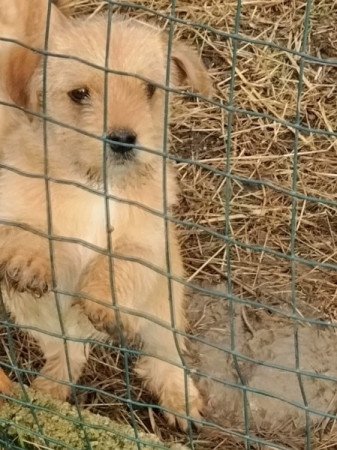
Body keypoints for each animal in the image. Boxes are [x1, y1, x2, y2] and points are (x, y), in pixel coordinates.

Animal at [0, 0, 210, 428]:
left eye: (150, 89)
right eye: (79, 94)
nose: (123, 140)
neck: (97, 184)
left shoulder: (150, 239)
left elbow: (122, 260)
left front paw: (103, 299)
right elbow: (30, 230)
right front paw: (30, 256)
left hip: (165, 302)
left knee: (165, 353)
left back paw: (180, 398)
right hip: (36, 314)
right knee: (68, 351)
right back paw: (50, 392)